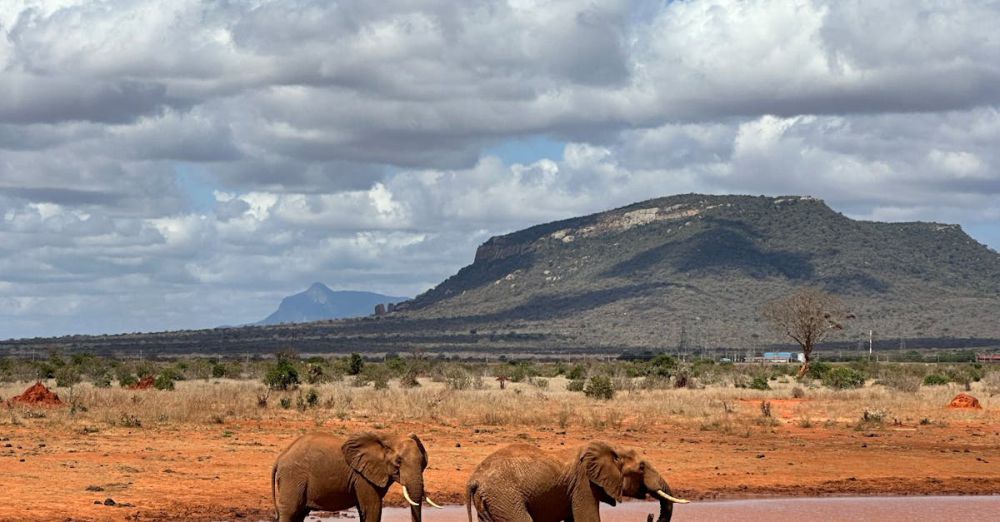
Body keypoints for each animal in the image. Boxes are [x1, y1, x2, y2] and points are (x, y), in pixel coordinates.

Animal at [276, 430, 444, 520]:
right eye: (398, 461)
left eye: (423, 463)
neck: (388, 438)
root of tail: (281, 457)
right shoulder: (362, 477)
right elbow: (372, 509)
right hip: (292, 478)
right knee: (290, 511)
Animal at [466, 438, 688, 520]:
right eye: (641, 467)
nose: (649, 515)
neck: (611, 447)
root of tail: (474, 479)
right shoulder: (583, 484)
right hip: (504, 497)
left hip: (492, 500)